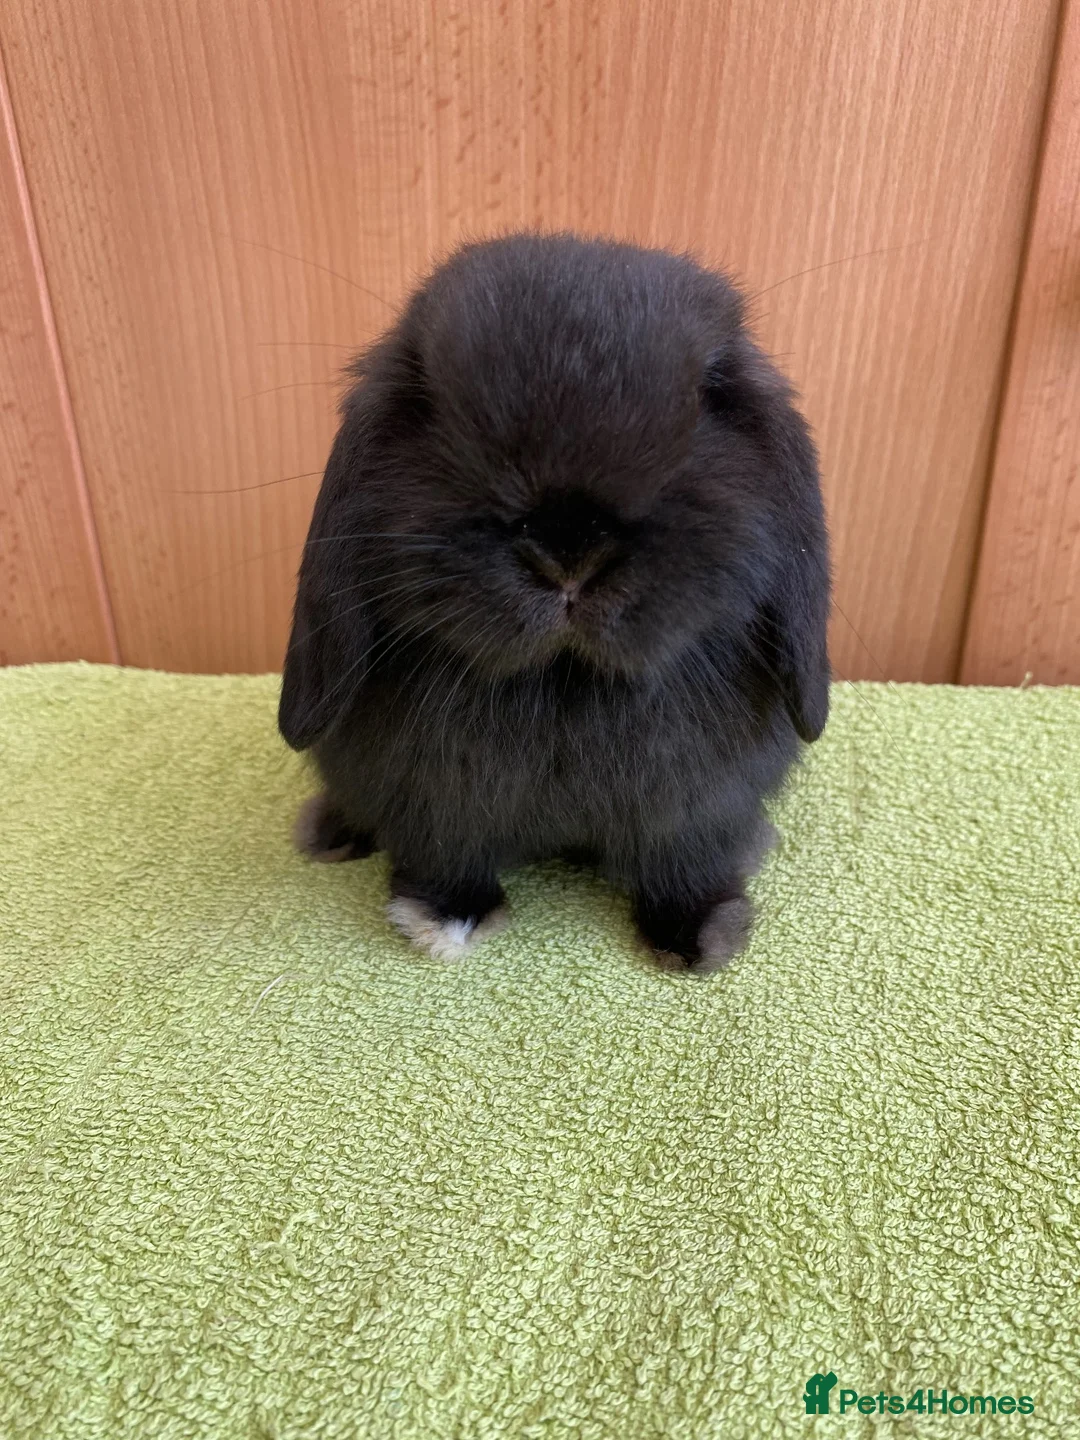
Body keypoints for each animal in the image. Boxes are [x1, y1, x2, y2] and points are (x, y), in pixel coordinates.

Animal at [278, 231, 831, 972]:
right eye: (432, 403)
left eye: (709, 395)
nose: (567, 548)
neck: (564, 681)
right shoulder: (433, 802)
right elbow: (443, 852)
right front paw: (445, 918)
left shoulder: (699, 809)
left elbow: (685, 863)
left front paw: (699, 935)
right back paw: (333, 834)